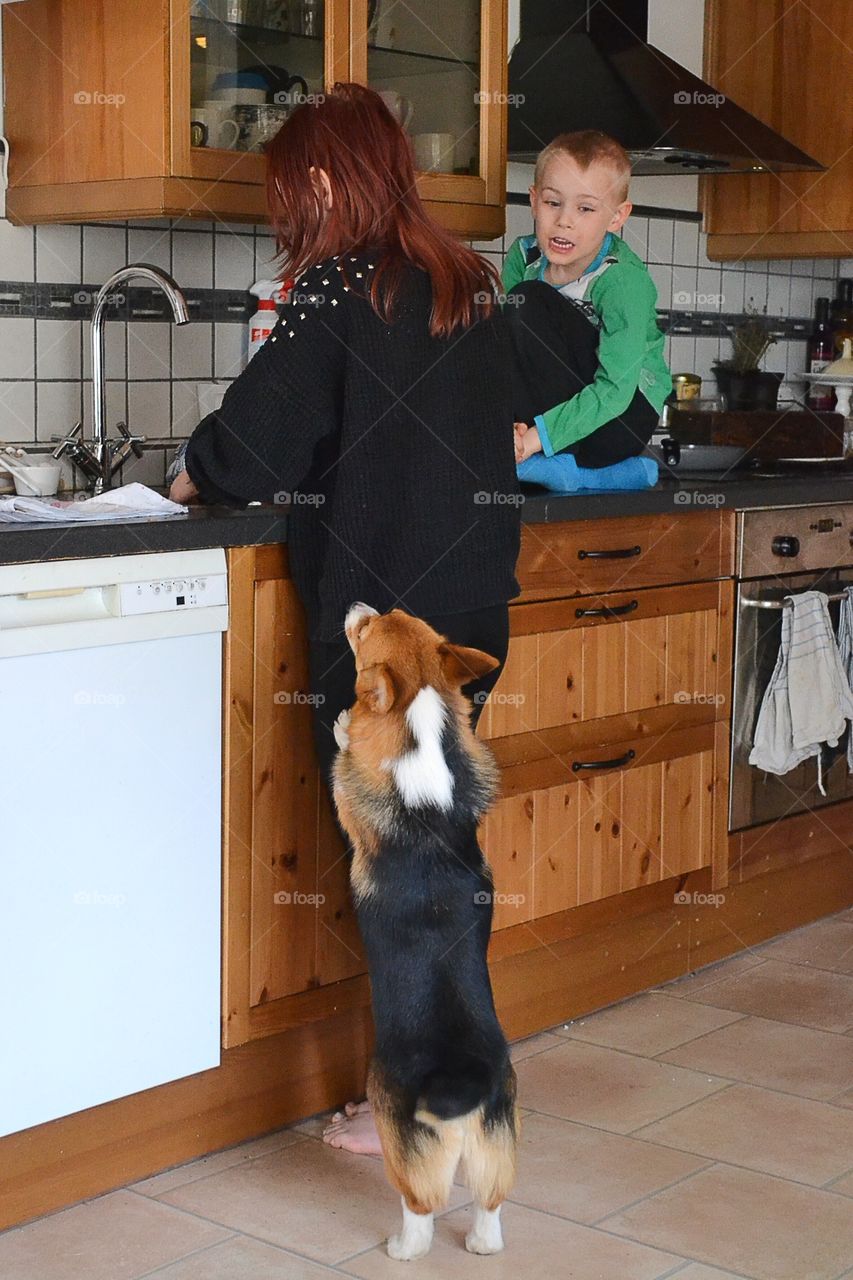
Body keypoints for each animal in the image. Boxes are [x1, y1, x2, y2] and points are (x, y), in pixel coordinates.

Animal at [330, 601, 517, 1259]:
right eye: (394, 612)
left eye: (366, 629)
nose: (358, 606)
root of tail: (460, 1088)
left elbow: (345, 760)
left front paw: (343, 724)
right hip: (497, 1141)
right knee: (490, 1202)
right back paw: (484, 1245)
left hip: (399, 1130)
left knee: (421, 1203)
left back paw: (401, 1248)